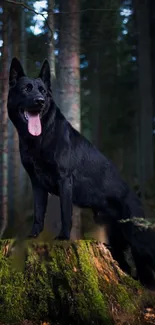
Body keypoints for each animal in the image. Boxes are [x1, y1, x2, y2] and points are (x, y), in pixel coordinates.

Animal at [7, 57, 155, 286]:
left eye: (43, 91)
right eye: (26, 89)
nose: (40, 101)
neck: (41, 137)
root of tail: (135, 197)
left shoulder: (64, 180)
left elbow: (65, 213)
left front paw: (63, 237)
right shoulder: (37, 184)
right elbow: (39, 213)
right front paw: (33, 236)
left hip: (141, 244)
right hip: (117, 244)